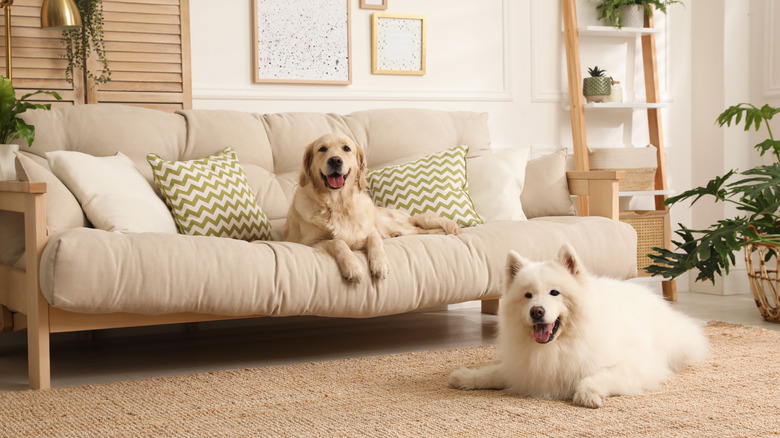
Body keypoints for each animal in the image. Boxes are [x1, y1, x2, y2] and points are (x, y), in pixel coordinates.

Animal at [284, 133, 458, 282]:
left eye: (346, 148)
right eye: (322, 149)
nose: (335, 160)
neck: (339, 204)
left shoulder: (371, 230)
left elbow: (375, 243)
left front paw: (380, 265)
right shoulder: (310, 242)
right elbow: (338, 243)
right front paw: (353, 267)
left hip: (394, 224)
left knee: (420, 228)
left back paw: (442, 231)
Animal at [448, 245, 708, 408]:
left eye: (554, 293)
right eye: (528, 295)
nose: (536, 311)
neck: (557, 346)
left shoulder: (636, 366)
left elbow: (597, 377)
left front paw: (587, 394)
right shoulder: (523, 368)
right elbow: (494, 373)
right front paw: (465, 377)